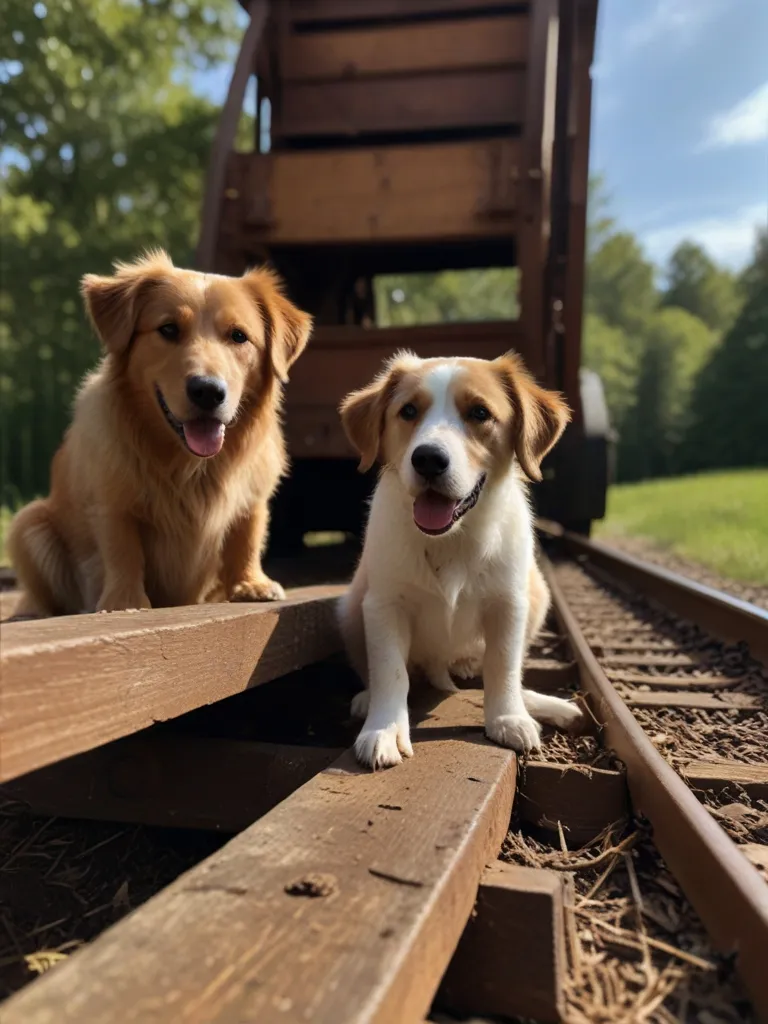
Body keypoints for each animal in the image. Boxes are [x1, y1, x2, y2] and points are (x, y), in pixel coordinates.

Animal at [6, 247, 313, 614]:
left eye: (238, 335)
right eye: (168, 329)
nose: (208, 391)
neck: (189, 466)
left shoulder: (253, 500)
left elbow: (246, 536)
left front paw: (250, 583)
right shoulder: (112, 501)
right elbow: (123, 548)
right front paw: (125, 600)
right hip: (29, 524)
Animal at [335, 350, 581, 770]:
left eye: (480, 413)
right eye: (408, 410)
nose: (428, 459)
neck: (452, 538)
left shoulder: (509, 603)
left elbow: (503, 665)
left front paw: (507, 717)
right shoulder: (384, 605)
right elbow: (389, 671)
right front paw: (384, 728)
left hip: (538, 595)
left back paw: (539, 704)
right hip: (351, 607)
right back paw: (368, 700)